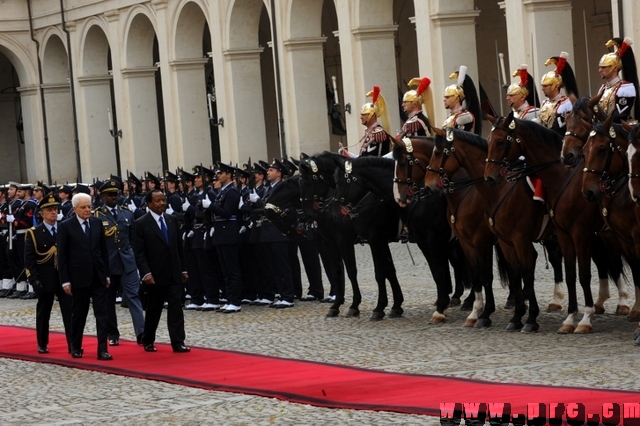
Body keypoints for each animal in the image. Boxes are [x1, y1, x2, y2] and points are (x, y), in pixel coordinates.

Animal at [484, 115, 624, 334]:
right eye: (488, 142)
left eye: (500, 142)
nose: (489, 177)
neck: (561, 178)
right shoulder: (561, 234)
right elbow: (569, 274)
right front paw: (569, 318)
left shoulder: (578, 233)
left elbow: (582, 274)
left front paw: (584, 319)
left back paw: (624, 304)